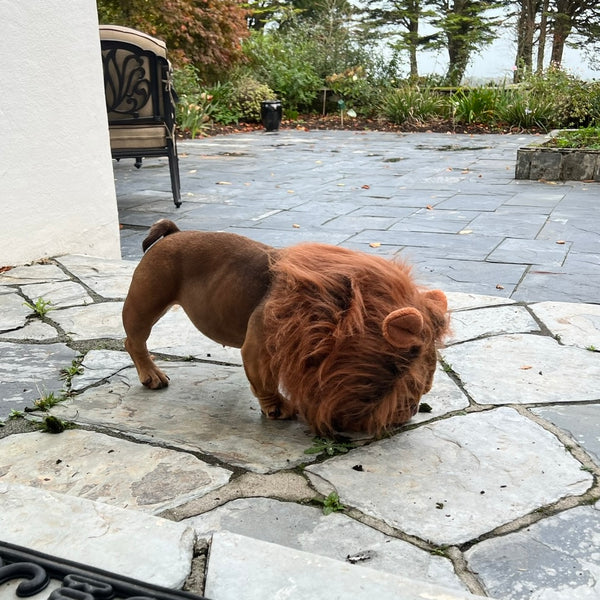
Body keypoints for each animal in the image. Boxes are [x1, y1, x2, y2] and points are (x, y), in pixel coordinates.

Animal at [123, 220, 450, 436]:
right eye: (409, 386)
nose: (410, 411)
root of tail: (173, 233)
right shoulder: (258, 349)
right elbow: (265, 382)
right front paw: (279, 409)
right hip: (146, 302)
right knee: (134, 340)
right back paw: (151, 374)